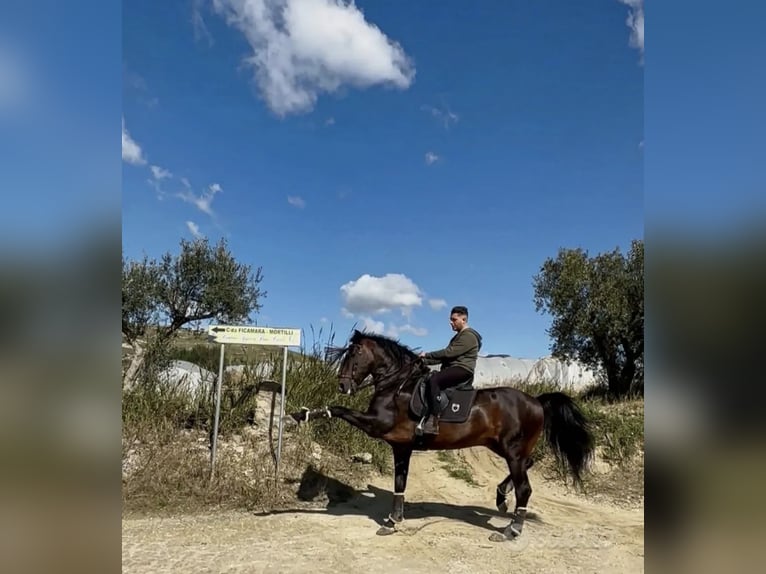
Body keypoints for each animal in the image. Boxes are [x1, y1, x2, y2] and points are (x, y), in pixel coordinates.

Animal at [288, 329, 595, 542]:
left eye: (354, 354)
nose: (342, 385)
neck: (397, 386)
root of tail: (536, 401)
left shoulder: (376, 426)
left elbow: (339, 410)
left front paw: (302, 415)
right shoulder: (401, 447)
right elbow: (400, 483)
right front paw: (393, 521)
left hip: (513, 451)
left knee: (525, 489)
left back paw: (510, 530)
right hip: (505, 448)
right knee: (527, 467)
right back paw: (501, 497)